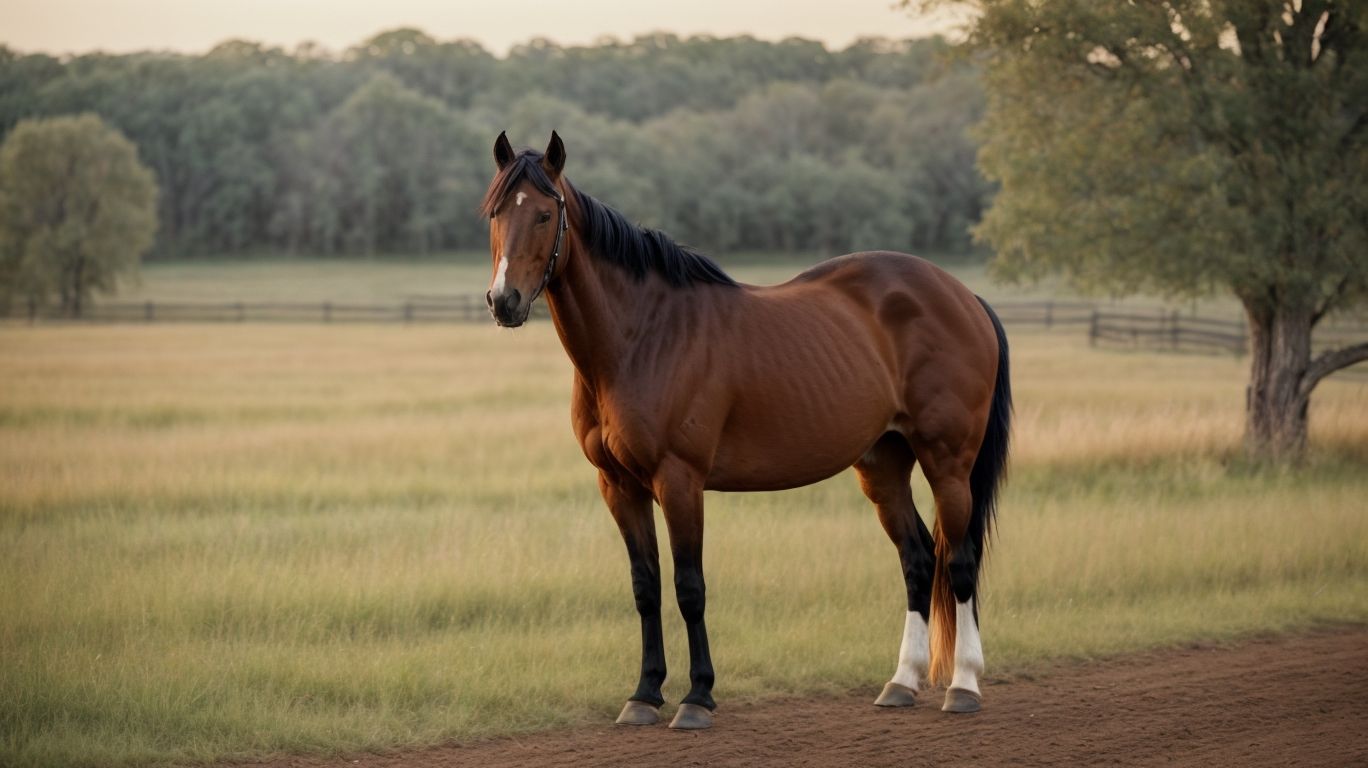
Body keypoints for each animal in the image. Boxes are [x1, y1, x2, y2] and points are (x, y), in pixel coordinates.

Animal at [481, 131, 1011, 730]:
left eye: (545, 214)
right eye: (495, 211)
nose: (503, 301)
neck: (642, 336)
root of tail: (963, 297)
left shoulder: (679, 481)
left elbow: (689, 587)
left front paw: (697, 697)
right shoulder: (618, 486)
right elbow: (646, 587)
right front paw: (644, 694)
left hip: (948, 465)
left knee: (959, 564)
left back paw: (963, 686)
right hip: (884, 466)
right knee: (918, 560)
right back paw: (902, 681)